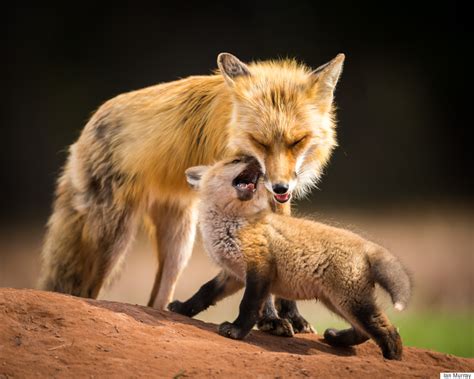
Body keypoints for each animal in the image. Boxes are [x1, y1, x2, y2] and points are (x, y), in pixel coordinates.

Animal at [39, 52, 344, 334]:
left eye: (297, 141)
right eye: (260, 142)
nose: (280, 187)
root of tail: (88, 126)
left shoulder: (278, 203)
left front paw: (292, 316)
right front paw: (271, 320)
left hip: (178, 244)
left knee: (155, 301)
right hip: (114, 241)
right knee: (87, 291)